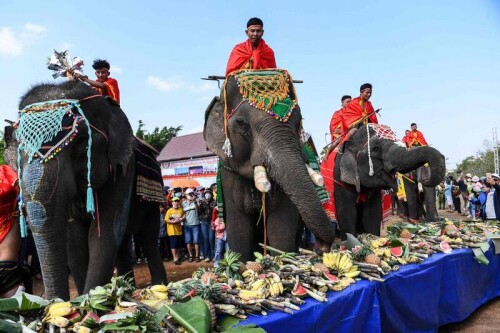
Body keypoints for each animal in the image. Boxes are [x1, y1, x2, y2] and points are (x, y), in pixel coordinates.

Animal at [3, 81, 168, 298]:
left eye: (81, 141)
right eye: (19, 150)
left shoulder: (124, 169)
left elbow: (103, 236)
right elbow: (74, 242)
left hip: (153, 202)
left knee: (148, 240)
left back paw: (160, 287)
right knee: (123, 243)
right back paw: (127, 289)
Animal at [203, 70, 336, 262]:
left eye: (299, 120)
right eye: (241, 123)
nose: (321, 247)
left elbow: (280, 232)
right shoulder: (228, 173)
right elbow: (239, 233)